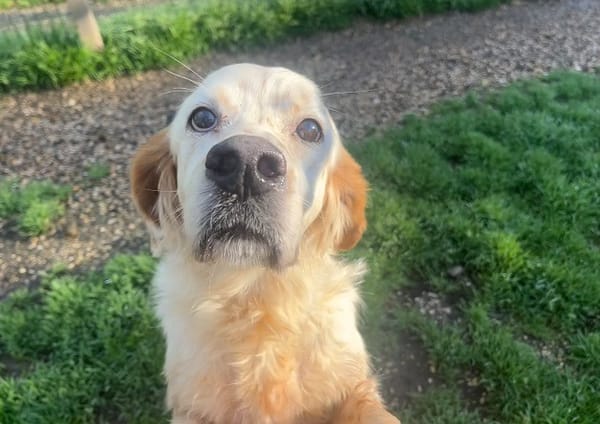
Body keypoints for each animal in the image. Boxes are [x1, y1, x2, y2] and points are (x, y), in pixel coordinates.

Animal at [130, 64, 400, 424]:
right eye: (201, 118)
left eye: (311, 129)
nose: (245, 164)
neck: (254, 295)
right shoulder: (192, 408)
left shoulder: (351, 385)